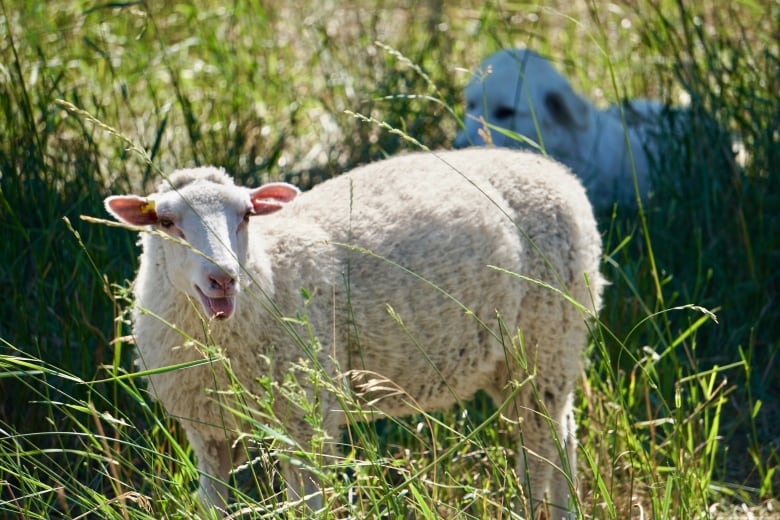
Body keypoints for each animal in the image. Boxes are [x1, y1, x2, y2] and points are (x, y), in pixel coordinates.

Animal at [103, 147, 604, 516]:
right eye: (166, 222)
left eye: (246, 215)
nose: (223, 278)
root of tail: (557, 171)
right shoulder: (206, 430)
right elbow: (211, 505)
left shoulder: (307, 419)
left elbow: (307, 506)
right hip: (515, 363)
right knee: (561, 438)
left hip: (546, 339)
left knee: (538, 453)